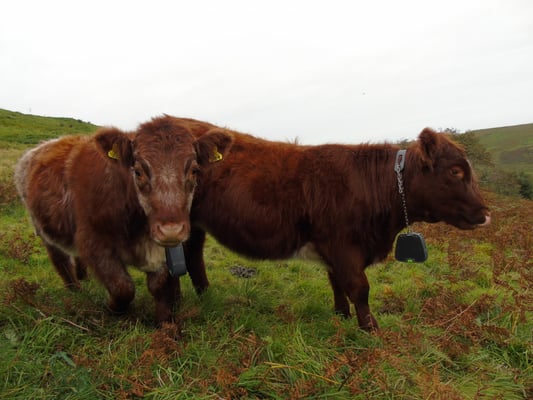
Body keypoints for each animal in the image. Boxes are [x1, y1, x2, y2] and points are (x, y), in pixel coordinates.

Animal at [13, 115, 231, 322]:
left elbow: (159, 287)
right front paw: (112, 308)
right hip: (42, 228)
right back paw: (75, 290)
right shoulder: (94, 242)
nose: (171, 231)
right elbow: (122, 287)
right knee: (60, 260)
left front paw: (166, 325)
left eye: (194, 170)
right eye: (138, 171)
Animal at [170, 118, 490, 332]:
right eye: (455, 171)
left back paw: (206, 294)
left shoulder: (336, 251)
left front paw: (342, 317)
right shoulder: (344, 247)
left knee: (193, 255)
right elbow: (359, 288)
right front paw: (370, 330)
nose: (485, 213)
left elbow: (337, 283)